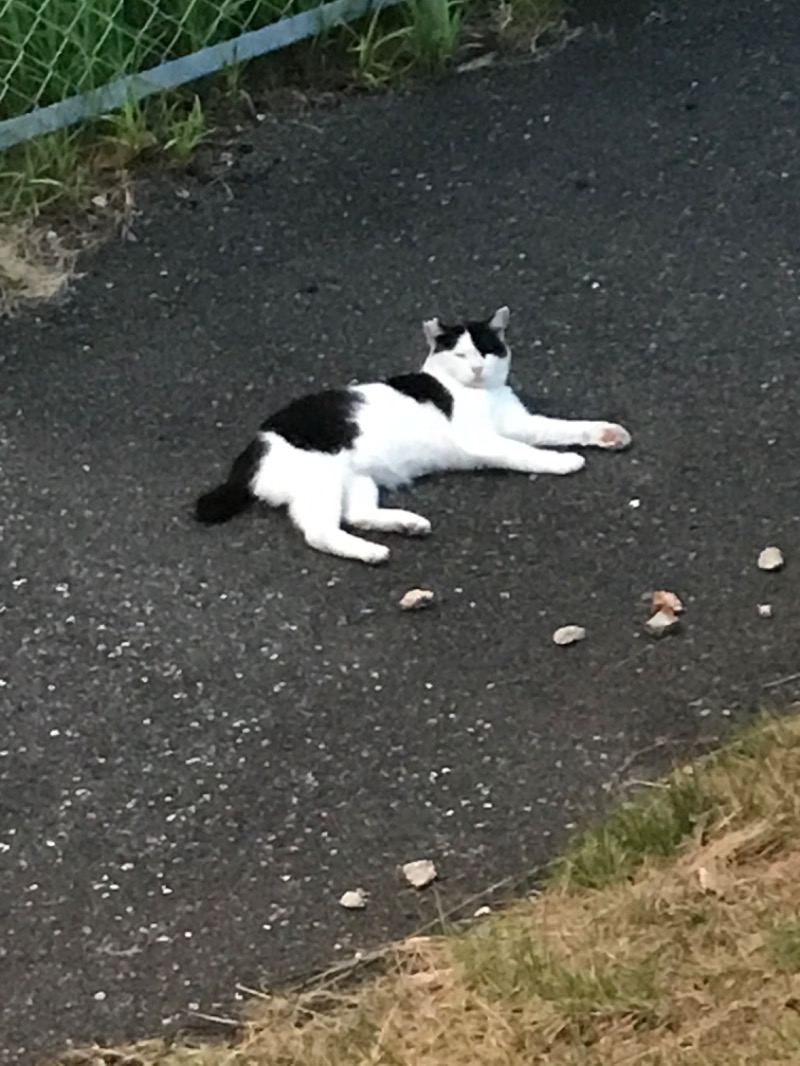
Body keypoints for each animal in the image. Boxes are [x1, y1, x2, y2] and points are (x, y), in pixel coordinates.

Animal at [194, 304, 631, 562]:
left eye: (486, 351)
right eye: (460, 354)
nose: (477, 369)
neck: (478, 393)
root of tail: (252, 449)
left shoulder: (521, 423)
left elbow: (563, 427)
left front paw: (606, 433)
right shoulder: (484, 440)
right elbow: (523, 453)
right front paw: (561, 462)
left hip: (358, 479)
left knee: (356, 514)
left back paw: (407, 524)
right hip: (322, 482)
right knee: (320, 532)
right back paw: (371, 552)